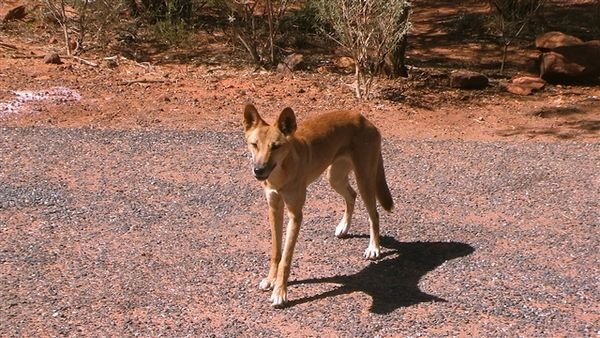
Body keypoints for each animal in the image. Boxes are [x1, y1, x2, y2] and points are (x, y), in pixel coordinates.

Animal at [244, 104, 394, 308]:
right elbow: (276, 252)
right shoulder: (274, 208)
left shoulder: (295, 215)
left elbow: (286, 258)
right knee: (351, 196)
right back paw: (344, 227)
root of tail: (363, 118)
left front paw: (280, 292)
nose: (258, 170)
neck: (280, 175)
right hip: (335, 178)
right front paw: (271, 279)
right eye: (254, 144)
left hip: (364, 179)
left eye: (275, 147)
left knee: (374, 214)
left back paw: (374, 248)